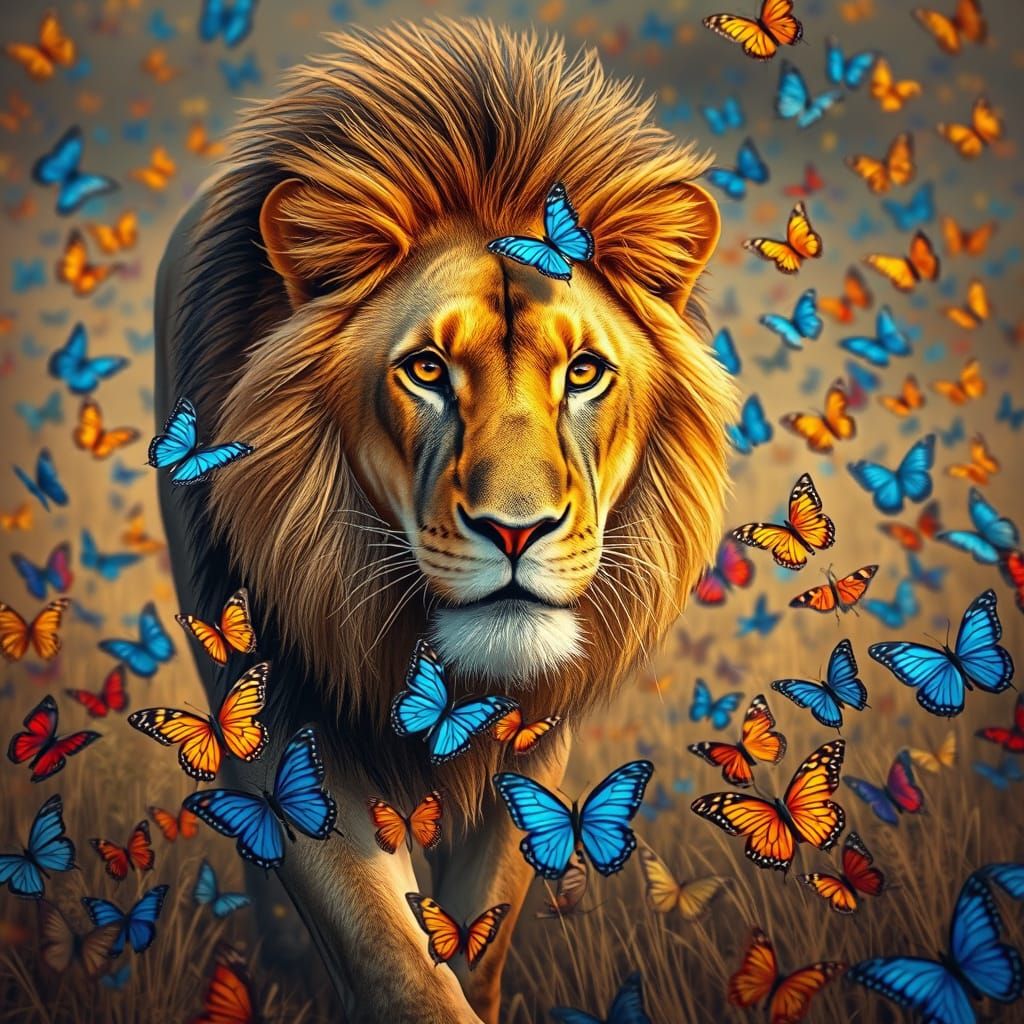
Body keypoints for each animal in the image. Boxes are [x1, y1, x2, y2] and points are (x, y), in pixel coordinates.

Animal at [154, 18, 732, 1023]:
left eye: (584, 372)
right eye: (426, 369)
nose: (516, 531)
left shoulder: (533, 743)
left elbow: (478, 939)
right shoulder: (286, 725)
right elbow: (396, 960)